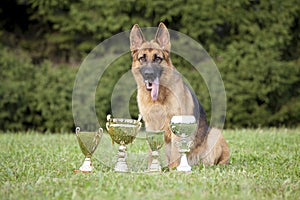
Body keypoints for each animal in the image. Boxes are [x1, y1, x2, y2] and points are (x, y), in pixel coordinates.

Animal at [129, 22, 230, 168]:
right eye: (142, 58)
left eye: (157, 58)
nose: (149, 74)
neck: (158, 99)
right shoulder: (151, 127)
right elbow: (151, 152)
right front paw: (152, 169)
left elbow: (175, 152)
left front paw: (173, 170)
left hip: (214, 133)